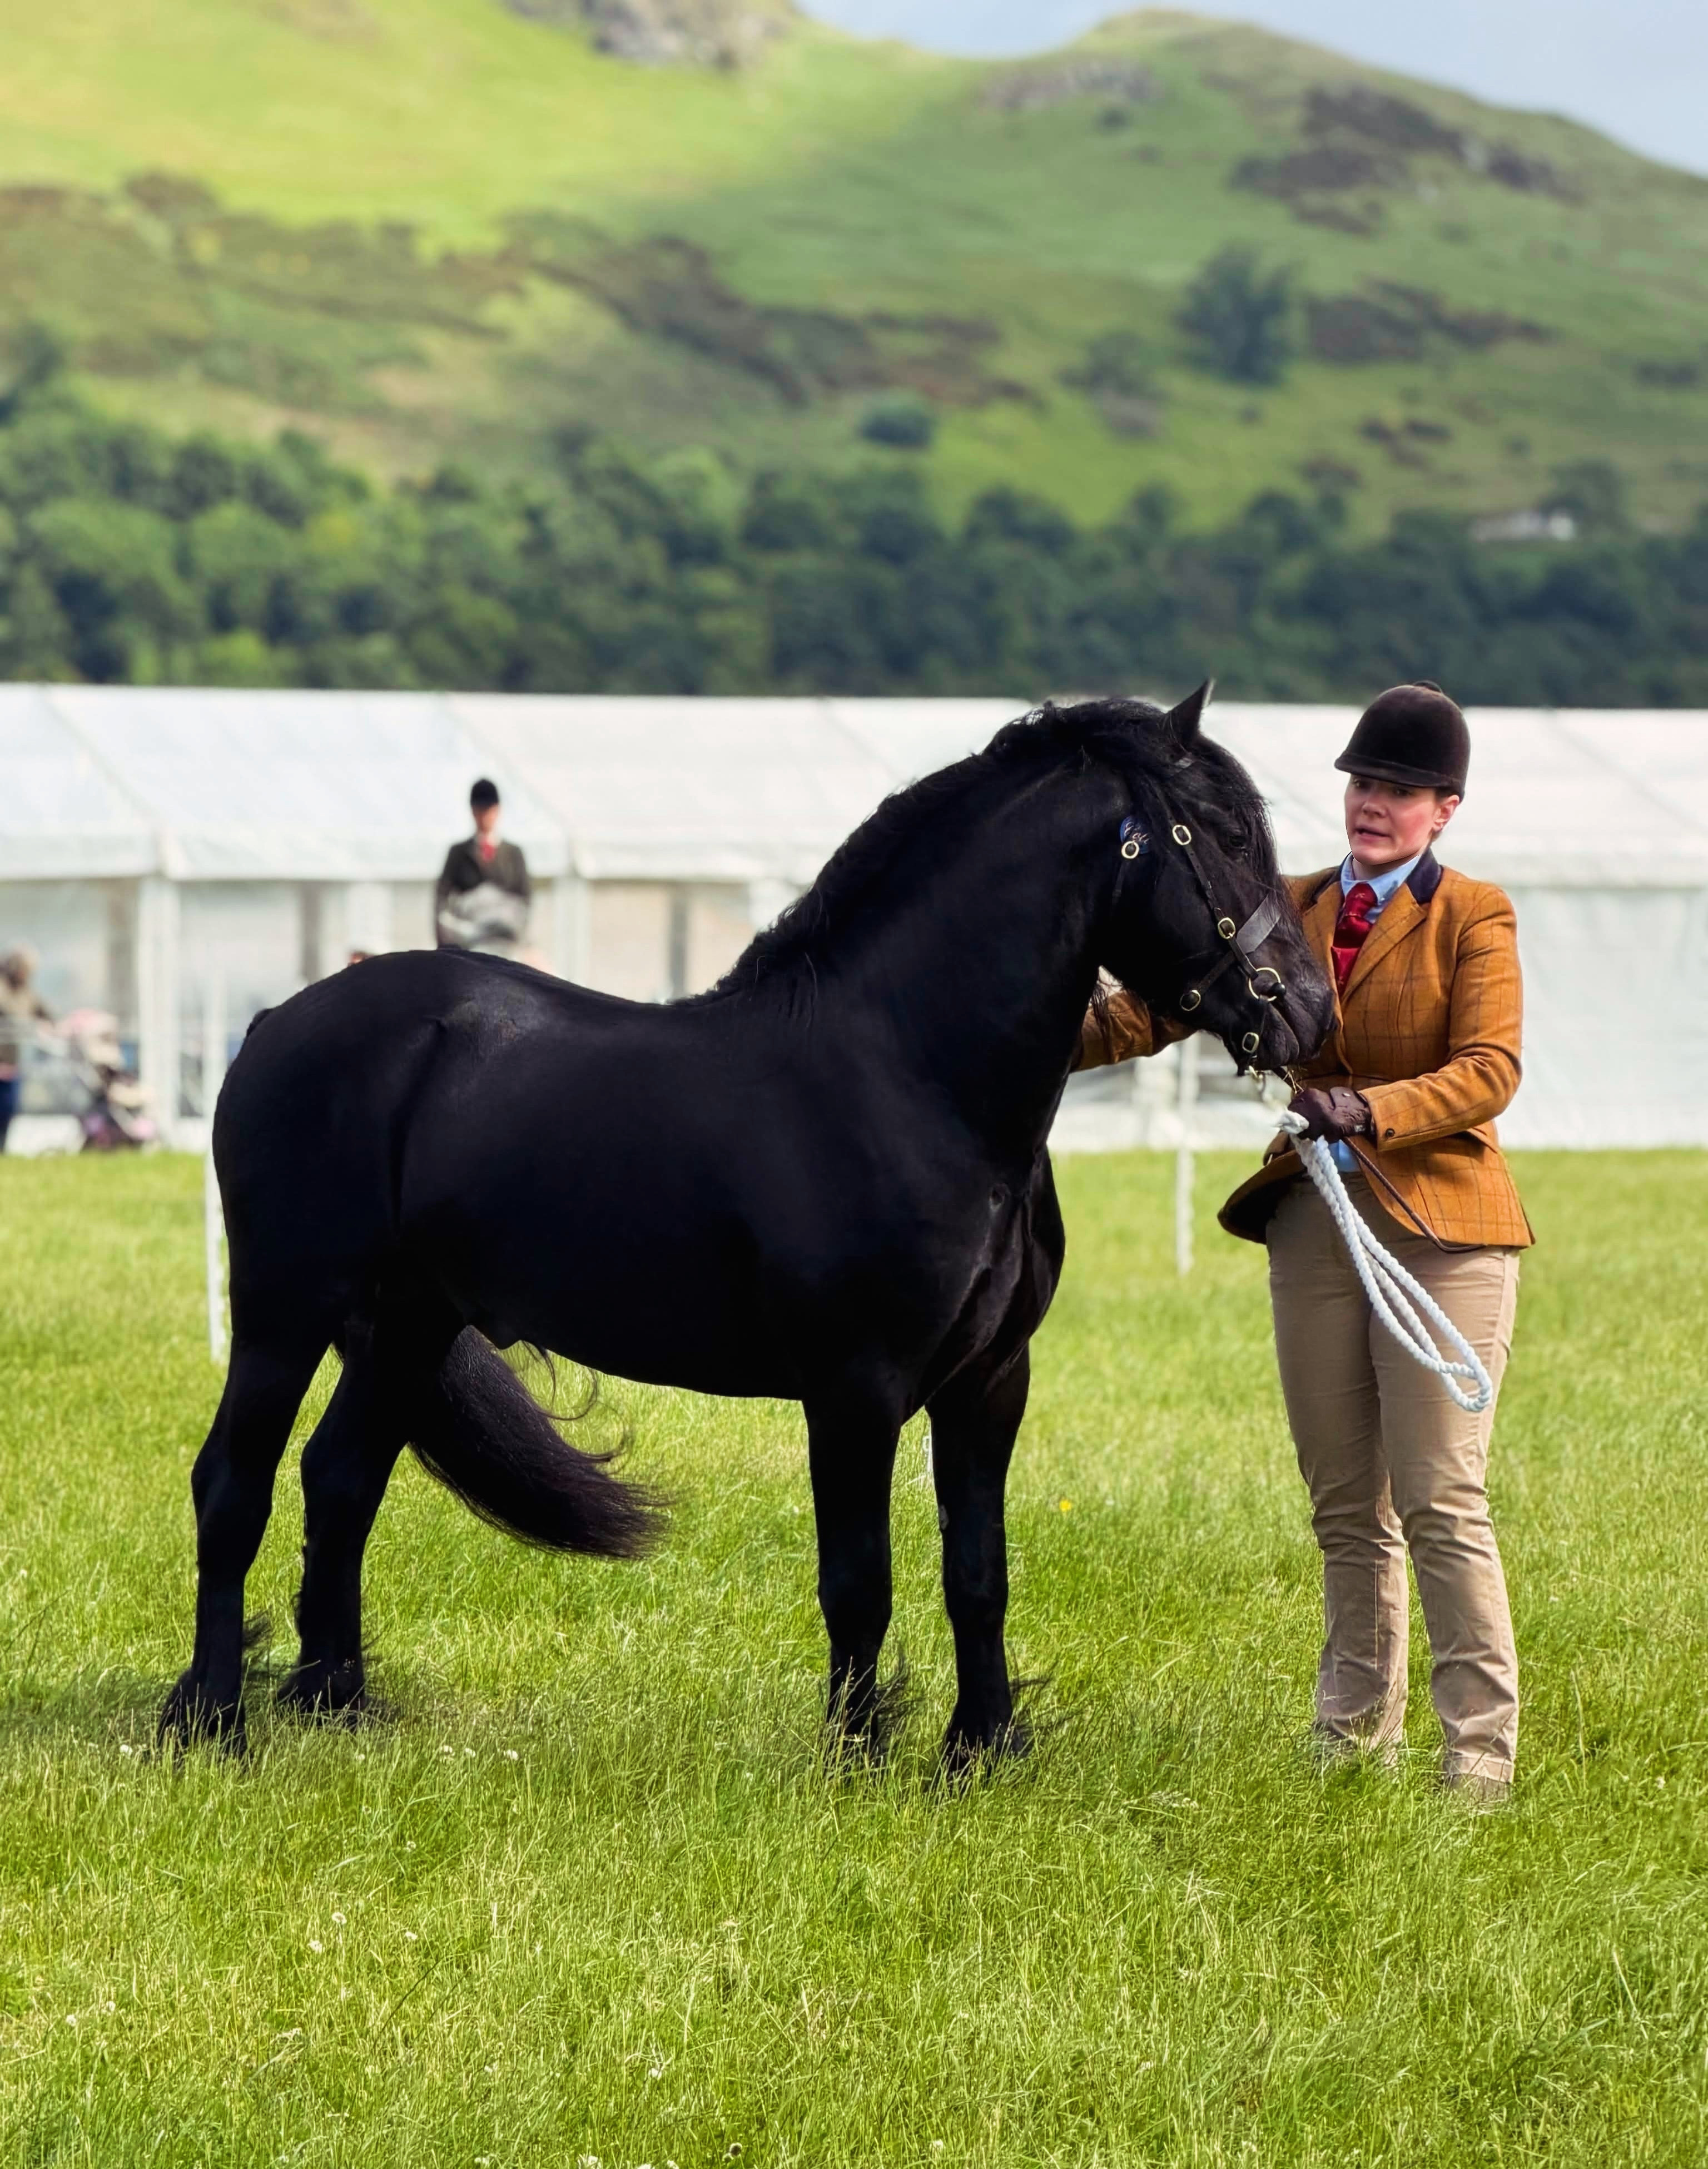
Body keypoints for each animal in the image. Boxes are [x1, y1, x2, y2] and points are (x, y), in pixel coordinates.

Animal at [160, 689, 1335, 1760]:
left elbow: (979, 1574)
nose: (1309, 1011)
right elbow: (860, 1580)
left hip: (409, 1324)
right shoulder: (856, 1390)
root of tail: (276, 1023)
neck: (909, 1076)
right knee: (234, 1486)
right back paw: (212, 1718)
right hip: (282, 1312)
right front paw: (857, 1758)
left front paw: (980, 1751)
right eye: (1225, 836)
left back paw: (335, 1707)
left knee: (339, 1481)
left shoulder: (990, 1383)